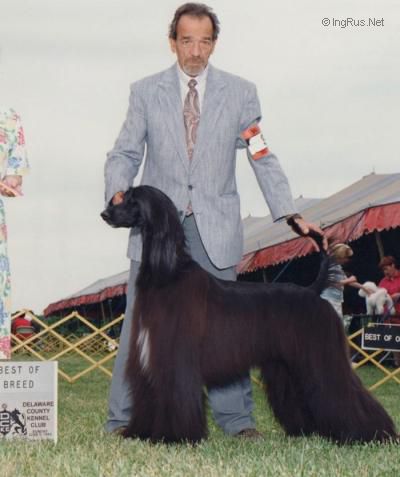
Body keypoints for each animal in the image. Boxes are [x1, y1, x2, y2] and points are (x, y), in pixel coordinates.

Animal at [101, 185, 397, 444]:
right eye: (122, 196)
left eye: (131, 199)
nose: (105, 213)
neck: (169, 272)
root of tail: (313, 290)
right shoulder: (150, 357)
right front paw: (140, 433)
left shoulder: (175, 357)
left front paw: (173, 437)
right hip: (286, 364)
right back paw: (310, 431)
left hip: (321, 355)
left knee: (343, 388)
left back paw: (374, 433)